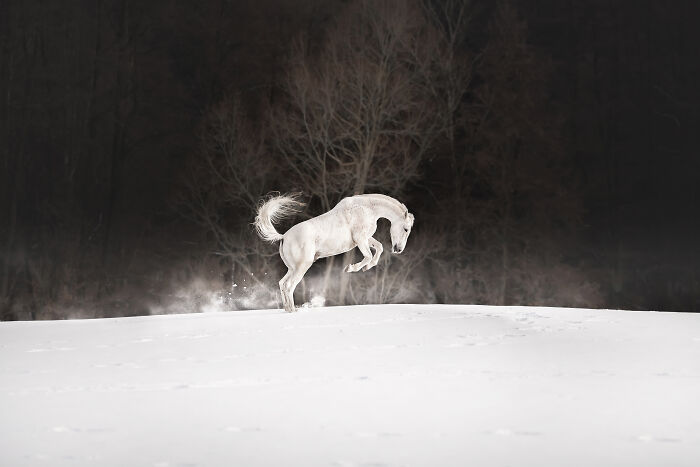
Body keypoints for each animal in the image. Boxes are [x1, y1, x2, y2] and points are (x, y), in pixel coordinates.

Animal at [254, 193, 415, 312]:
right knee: (289, 286)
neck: (366, 208)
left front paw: (366, 267)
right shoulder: (360, 239)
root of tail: (283, 237)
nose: (398, 249)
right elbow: (368, 255)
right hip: (301, 267)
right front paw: (351, 268)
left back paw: (288, 309)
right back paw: (293, 310)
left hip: (292, 269)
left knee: (282, 284)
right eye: (406, 229)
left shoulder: (365, 238)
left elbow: (379, 248)